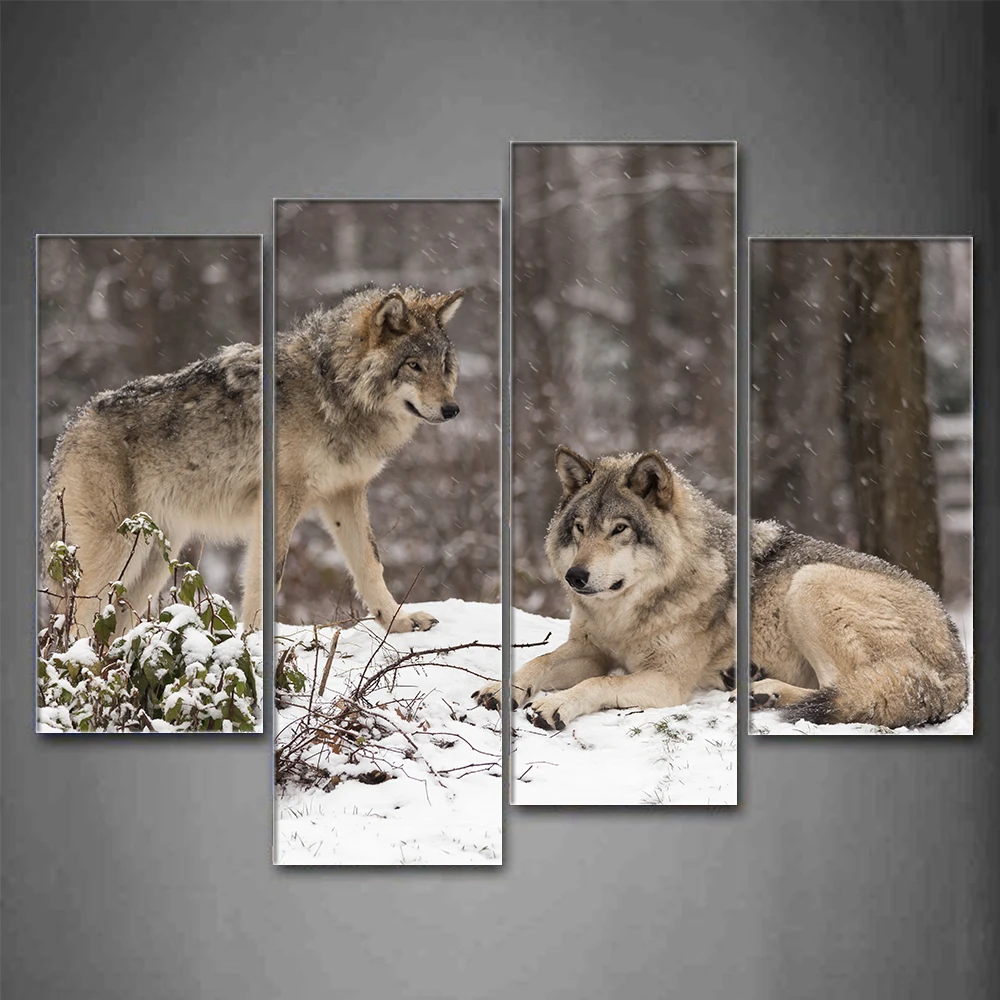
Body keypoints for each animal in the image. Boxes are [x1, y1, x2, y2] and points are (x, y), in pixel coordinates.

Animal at [474, 447, 736, 728]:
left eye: (619, 528)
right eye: (580, 527)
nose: (574, 576)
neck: (620, 618)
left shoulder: (667, 680)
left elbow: (601, 681)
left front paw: (556, 704)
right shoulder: (590, 651)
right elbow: (540, 660)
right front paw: (501, 688)